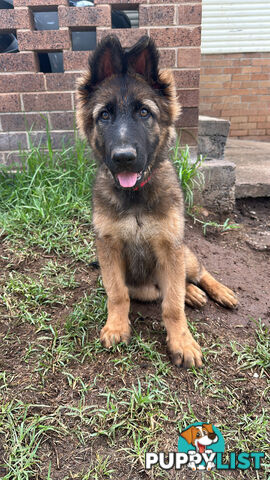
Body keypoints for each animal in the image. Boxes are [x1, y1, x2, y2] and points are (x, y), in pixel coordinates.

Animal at [75, 36, 236, 368]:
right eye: (104, 115)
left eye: (144, 113)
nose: (124, 158)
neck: (135, 196)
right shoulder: (109, 248)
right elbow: (118, 294)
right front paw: (116, 326)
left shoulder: (169, 247)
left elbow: (173, 307)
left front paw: (182, 342)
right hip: (147, 286)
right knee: (171, 287)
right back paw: (192, 294)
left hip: (184, 254)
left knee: (197, 273)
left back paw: (217, 291)